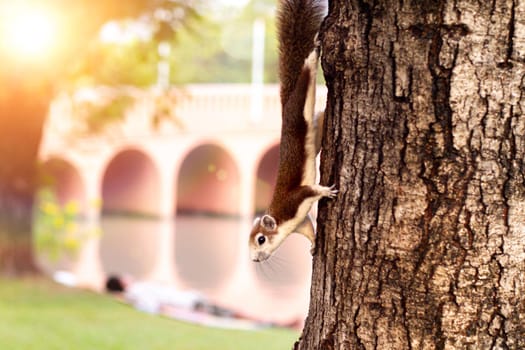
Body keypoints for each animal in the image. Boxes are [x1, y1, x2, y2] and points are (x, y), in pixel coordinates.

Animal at [249, 0, 336, 262]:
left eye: (261, 239)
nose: (255, 259)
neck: (282, 221)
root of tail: (285, 106)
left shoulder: (293, 201)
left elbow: (309, 189)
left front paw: (326, 190)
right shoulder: (300, 221)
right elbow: (308, 230)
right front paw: (314, 245)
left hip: (298, 106)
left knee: (307, 73)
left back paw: (315, 50)